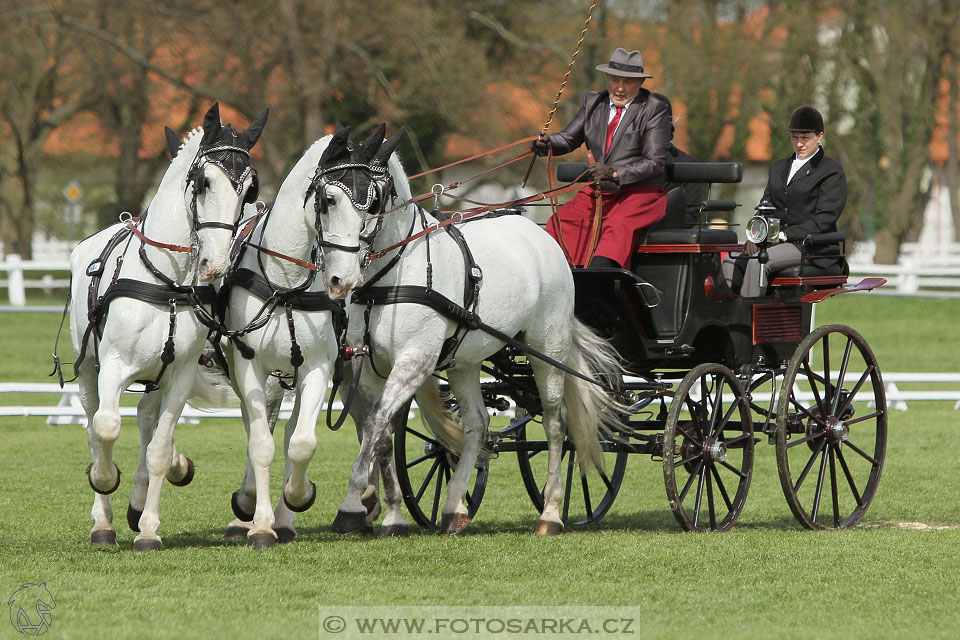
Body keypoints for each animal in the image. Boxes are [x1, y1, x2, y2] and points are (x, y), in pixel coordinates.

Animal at [68, 104, 266, 552]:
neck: (167, 280)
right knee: (92, 425)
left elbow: (158, 448)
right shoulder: (113, 366)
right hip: (88, 370)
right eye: (205, 181)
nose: (216, 265)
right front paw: (105, 479)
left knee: (146, 418)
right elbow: (106, 428)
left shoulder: (179, 375)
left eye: (249, 189)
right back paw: (102, 521)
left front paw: (149, 528)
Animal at [215, 126, 402, 552]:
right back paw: (249, 507)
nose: (344, 280)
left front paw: (297, 497)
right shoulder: (249, 368)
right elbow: (261, 443)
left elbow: (302, 442)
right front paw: (260, 524)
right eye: (329, 199)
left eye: (372, 203)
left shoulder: (318, 368)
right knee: (262, 428)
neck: (284, 281)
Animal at [316, 124, 628, 536]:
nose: (341, 279)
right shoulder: (366, 366)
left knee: (556, 424)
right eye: (325, 200)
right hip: (464, 362)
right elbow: (379, 430)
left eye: (374, 201)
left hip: (549, 349)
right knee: (478, 424)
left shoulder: (414, 360)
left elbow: (376, 423)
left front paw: (353, 506)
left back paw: (550, 513)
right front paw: (392, 513)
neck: (395, 273)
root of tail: (541, 236)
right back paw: (454, 508)